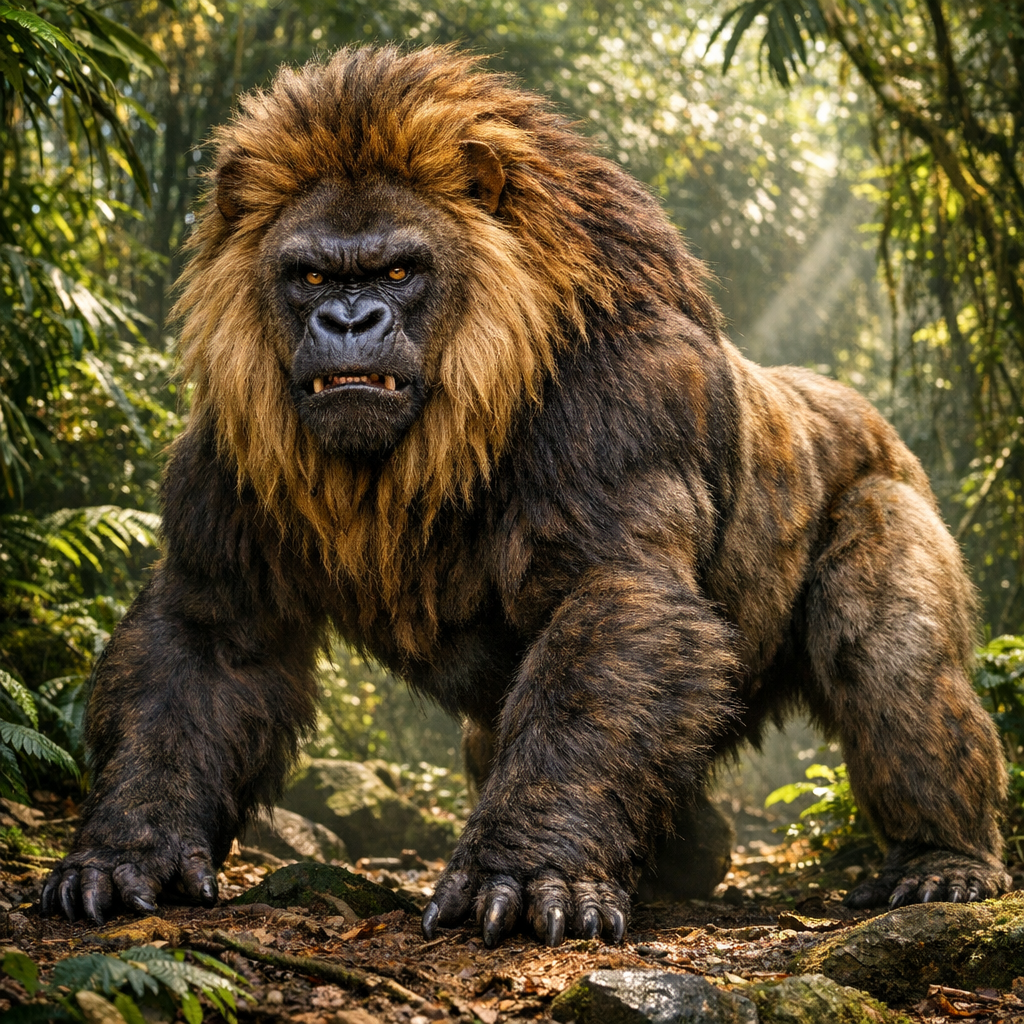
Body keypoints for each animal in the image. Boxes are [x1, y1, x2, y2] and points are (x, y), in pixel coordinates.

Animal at [42, 46, 1011, 946]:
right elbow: (206, 646)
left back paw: (945, 862)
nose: (348, 321)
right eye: (311, 276)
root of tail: (865, 414)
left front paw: (522, 872)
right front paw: (128, 852)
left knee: (890, 664)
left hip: (889, 507)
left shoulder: (620, 408)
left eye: (398, 272)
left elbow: (609, 614)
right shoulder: (228, 454)